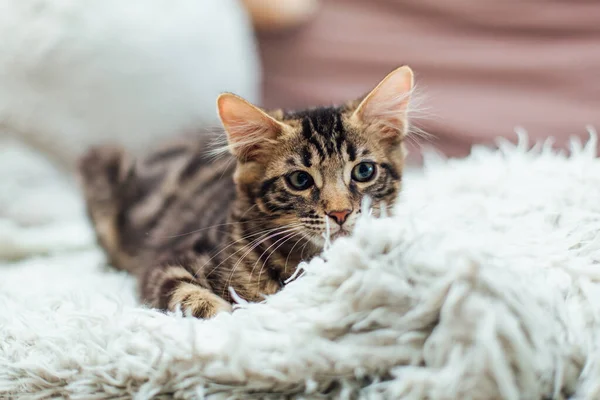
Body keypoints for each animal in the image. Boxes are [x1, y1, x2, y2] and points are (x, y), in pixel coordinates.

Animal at [79, 67, 414, 320]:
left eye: (364, 171)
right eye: (299, 180)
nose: (340, 213)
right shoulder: (165, 262)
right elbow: (189, 295)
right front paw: (223, 313)